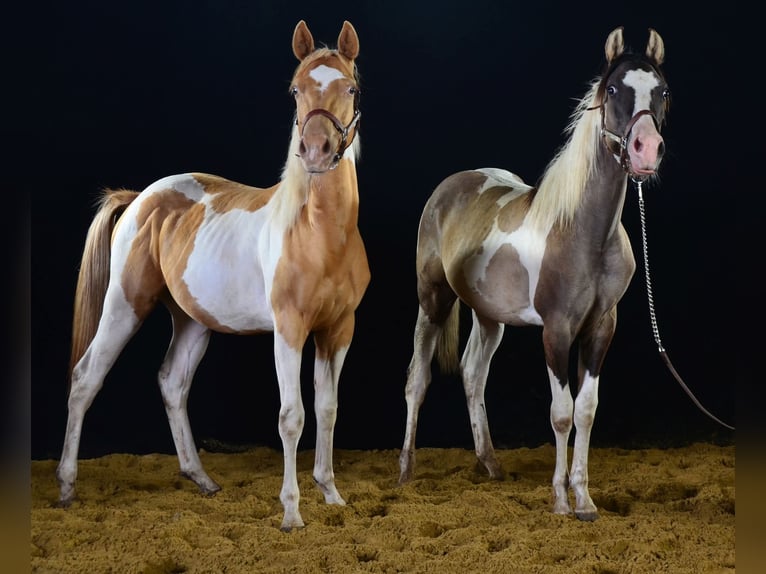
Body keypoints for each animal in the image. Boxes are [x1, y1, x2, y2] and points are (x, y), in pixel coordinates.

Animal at [56, 20, 369, 531]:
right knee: (86, 378)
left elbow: (328, 408)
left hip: (192, 320)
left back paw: (201, 478)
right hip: (124, 304)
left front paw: (331, 494)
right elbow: (292, 416)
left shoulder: (339, 329)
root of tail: (140, 198)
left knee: (172, 382)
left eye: (351, 88)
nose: (316, 152)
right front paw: (291, 512)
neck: (319, 233)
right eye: (295, 90)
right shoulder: (289, 328)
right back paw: (66, 486)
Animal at [398, 27, 670, 521]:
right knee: (417, 379)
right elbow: (561, 412)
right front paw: (560, 499)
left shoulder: (601, 327)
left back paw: (490, 465)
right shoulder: (556, 330)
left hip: (490, 317)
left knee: (472, 373)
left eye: (662, 91)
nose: (646, 150)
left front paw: (584, 499)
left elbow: (586, 410)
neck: (584, 232)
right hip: (433, 299)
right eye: (613, 89)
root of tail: (453, 184)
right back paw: (406, 471)